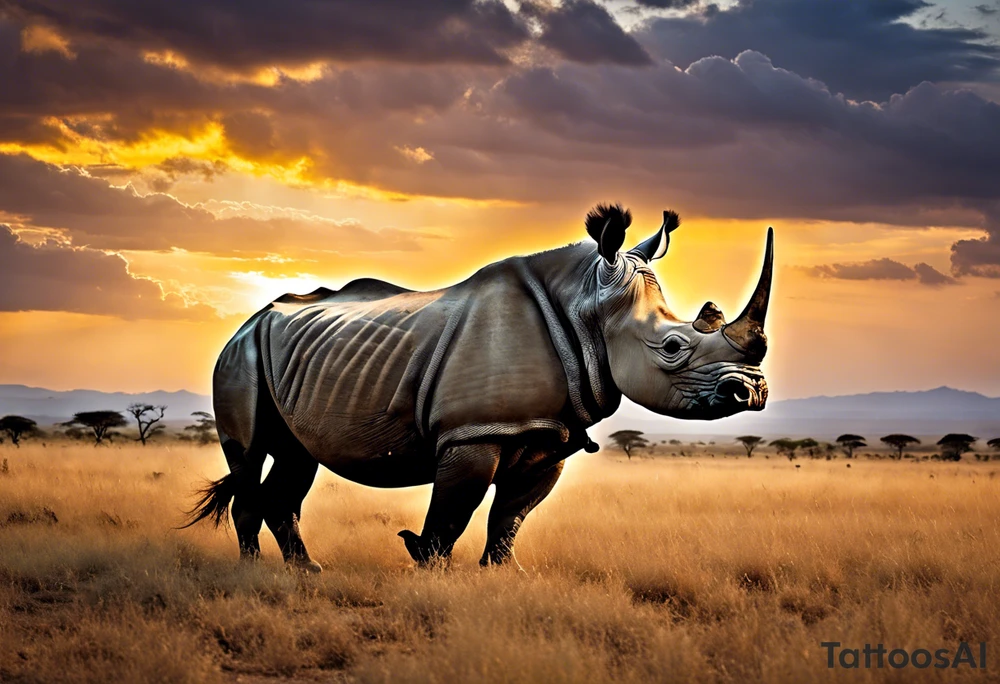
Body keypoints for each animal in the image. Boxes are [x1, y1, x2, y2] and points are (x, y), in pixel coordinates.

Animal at [187, 204, 773, 571]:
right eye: (673, 347)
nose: (753, 393)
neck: (588, 308)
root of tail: (249, 320)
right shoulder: (472, 432)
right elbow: (454, 511)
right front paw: (429, 569)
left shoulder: (550, 435)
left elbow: (510, 515)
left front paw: (505, 575)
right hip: (239, 355)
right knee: (250, 455)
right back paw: (254, 571)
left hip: (287, 358)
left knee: (296, 458)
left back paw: (308, 571)